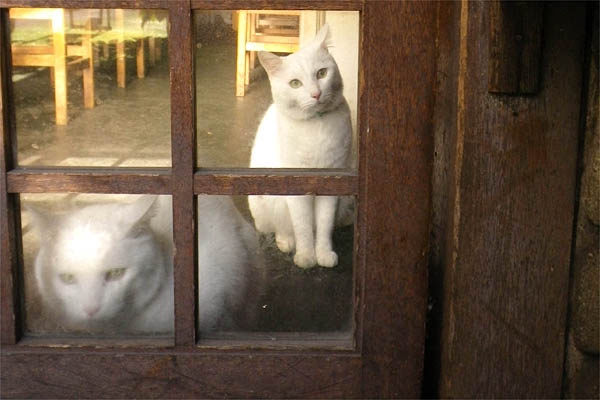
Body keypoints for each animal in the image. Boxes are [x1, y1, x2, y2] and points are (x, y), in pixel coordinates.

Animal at [247, 24, 352, 268]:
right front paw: (306, 257)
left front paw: (323, 253)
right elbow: (302, 225)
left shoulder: (331, 183)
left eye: (322, 73)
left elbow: (324, 224)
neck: (316, 126)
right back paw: (287, 241)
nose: (316, 94)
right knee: (280, 227)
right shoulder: (295, 184)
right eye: (295, 83)